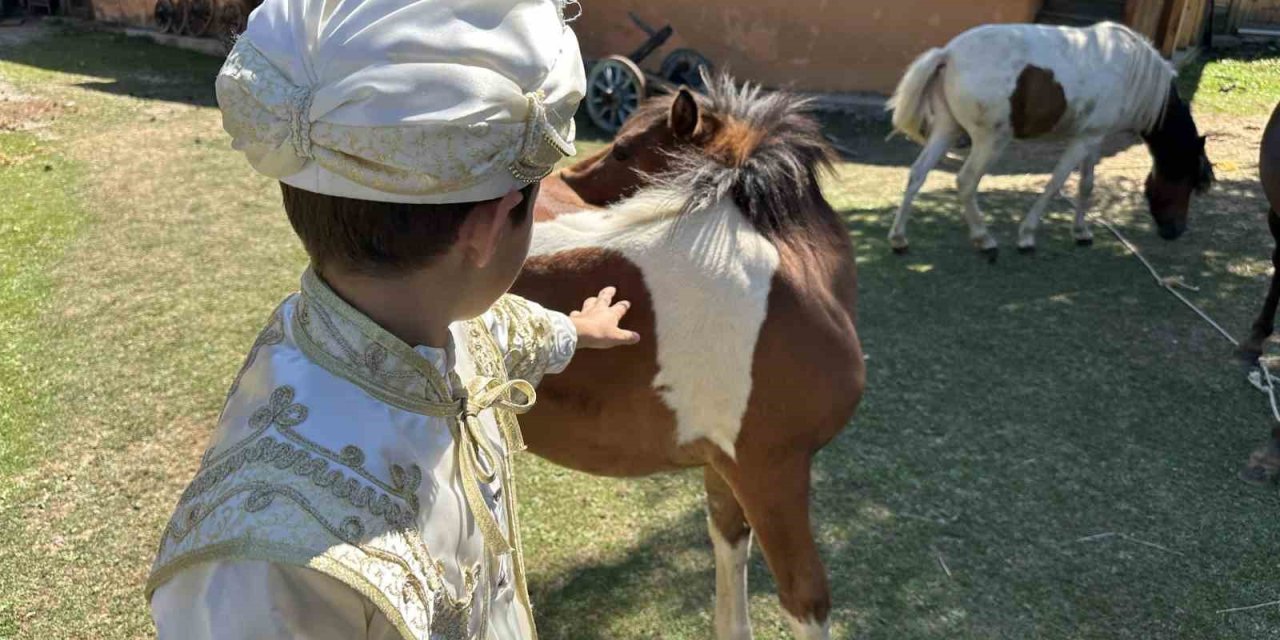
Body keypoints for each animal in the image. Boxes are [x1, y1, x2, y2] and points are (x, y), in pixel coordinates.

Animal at [506, 76, 860, 640]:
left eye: (624, 149)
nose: (565, 180)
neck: (793, 281)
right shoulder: (771, 472)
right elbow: (805, 598)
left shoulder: (727, 468)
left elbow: (730, 549)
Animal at [885, 21, 1213, 258]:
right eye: (1188, 178)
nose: (1176, 230)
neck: (1132, 71)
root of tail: (948, 54)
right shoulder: (1083, 141)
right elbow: (1056, 183)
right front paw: (1027, 236)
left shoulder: (1092, 138)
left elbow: (1086, 185)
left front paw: (1081, 232)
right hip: (991, 142)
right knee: (966, 182)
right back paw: (984, 239)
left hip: (947, 130)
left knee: (917, 174)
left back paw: (899, 238)